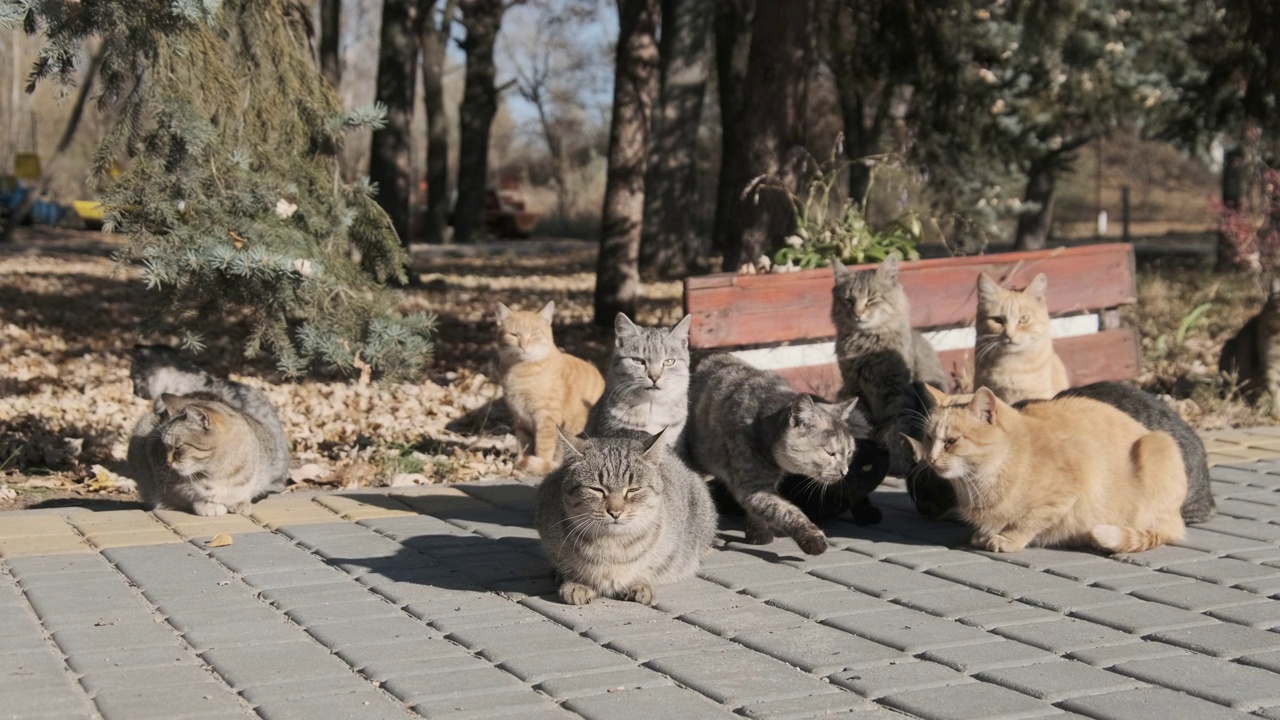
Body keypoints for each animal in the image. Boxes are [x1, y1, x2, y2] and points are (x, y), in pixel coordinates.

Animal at [494, 299, 604, 474]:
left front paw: (538, 464)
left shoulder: (547, 418)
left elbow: (543, 449)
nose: (523, 346)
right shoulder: (520, 418)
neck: (520, 370)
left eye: (534, 334)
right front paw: (521, 461)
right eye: (514, 335)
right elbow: (523, 444)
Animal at [535, 425, 721, 604]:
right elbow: (566, 564)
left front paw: (637, 582)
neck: (611, 545)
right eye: (597, 489)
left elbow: (651, 566)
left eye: (633, 490)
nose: (615, 512)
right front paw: (577, 583)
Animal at [906, 384, 1182, 550]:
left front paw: (1007, 539)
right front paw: (986, 534)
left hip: (1158, 446)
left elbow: (1029, 522)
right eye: (929, 438)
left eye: (951, 442)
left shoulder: (1068, 490)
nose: (930, 459)